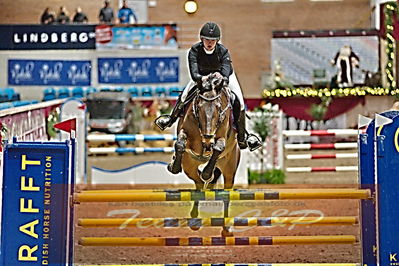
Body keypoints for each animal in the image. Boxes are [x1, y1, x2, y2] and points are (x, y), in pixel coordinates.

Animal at [168, 72, 241, 237]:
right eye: (199, 107)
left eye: (218, 107)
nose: (208, 140)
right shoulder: (185, 131)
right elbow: (180, 143)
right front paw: (174, 166)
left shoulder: (221, 137)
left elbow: (219, 147)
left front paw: (208, 172)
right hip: (189, 166)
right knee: (199, 184)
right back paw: (195, 220)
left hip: (230, 170)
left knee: (225, 194)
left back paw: (226, 228)